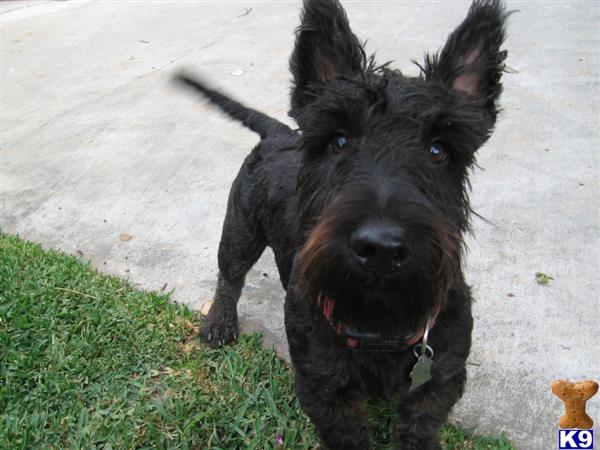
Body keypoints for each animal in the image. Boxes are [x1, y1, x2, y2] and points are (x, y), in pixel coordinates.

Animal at [176, 1, 508, 448]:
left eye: (439, 149)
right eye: (338, 140)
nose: (381, 248)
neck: (381, 323)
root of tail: (280, 133)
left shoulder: (440, 381)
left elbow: (420, 426)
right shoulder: (324, 389)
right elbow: (348, 433)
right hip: (240, 231)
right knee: (230, 275)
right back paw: (219, 322)